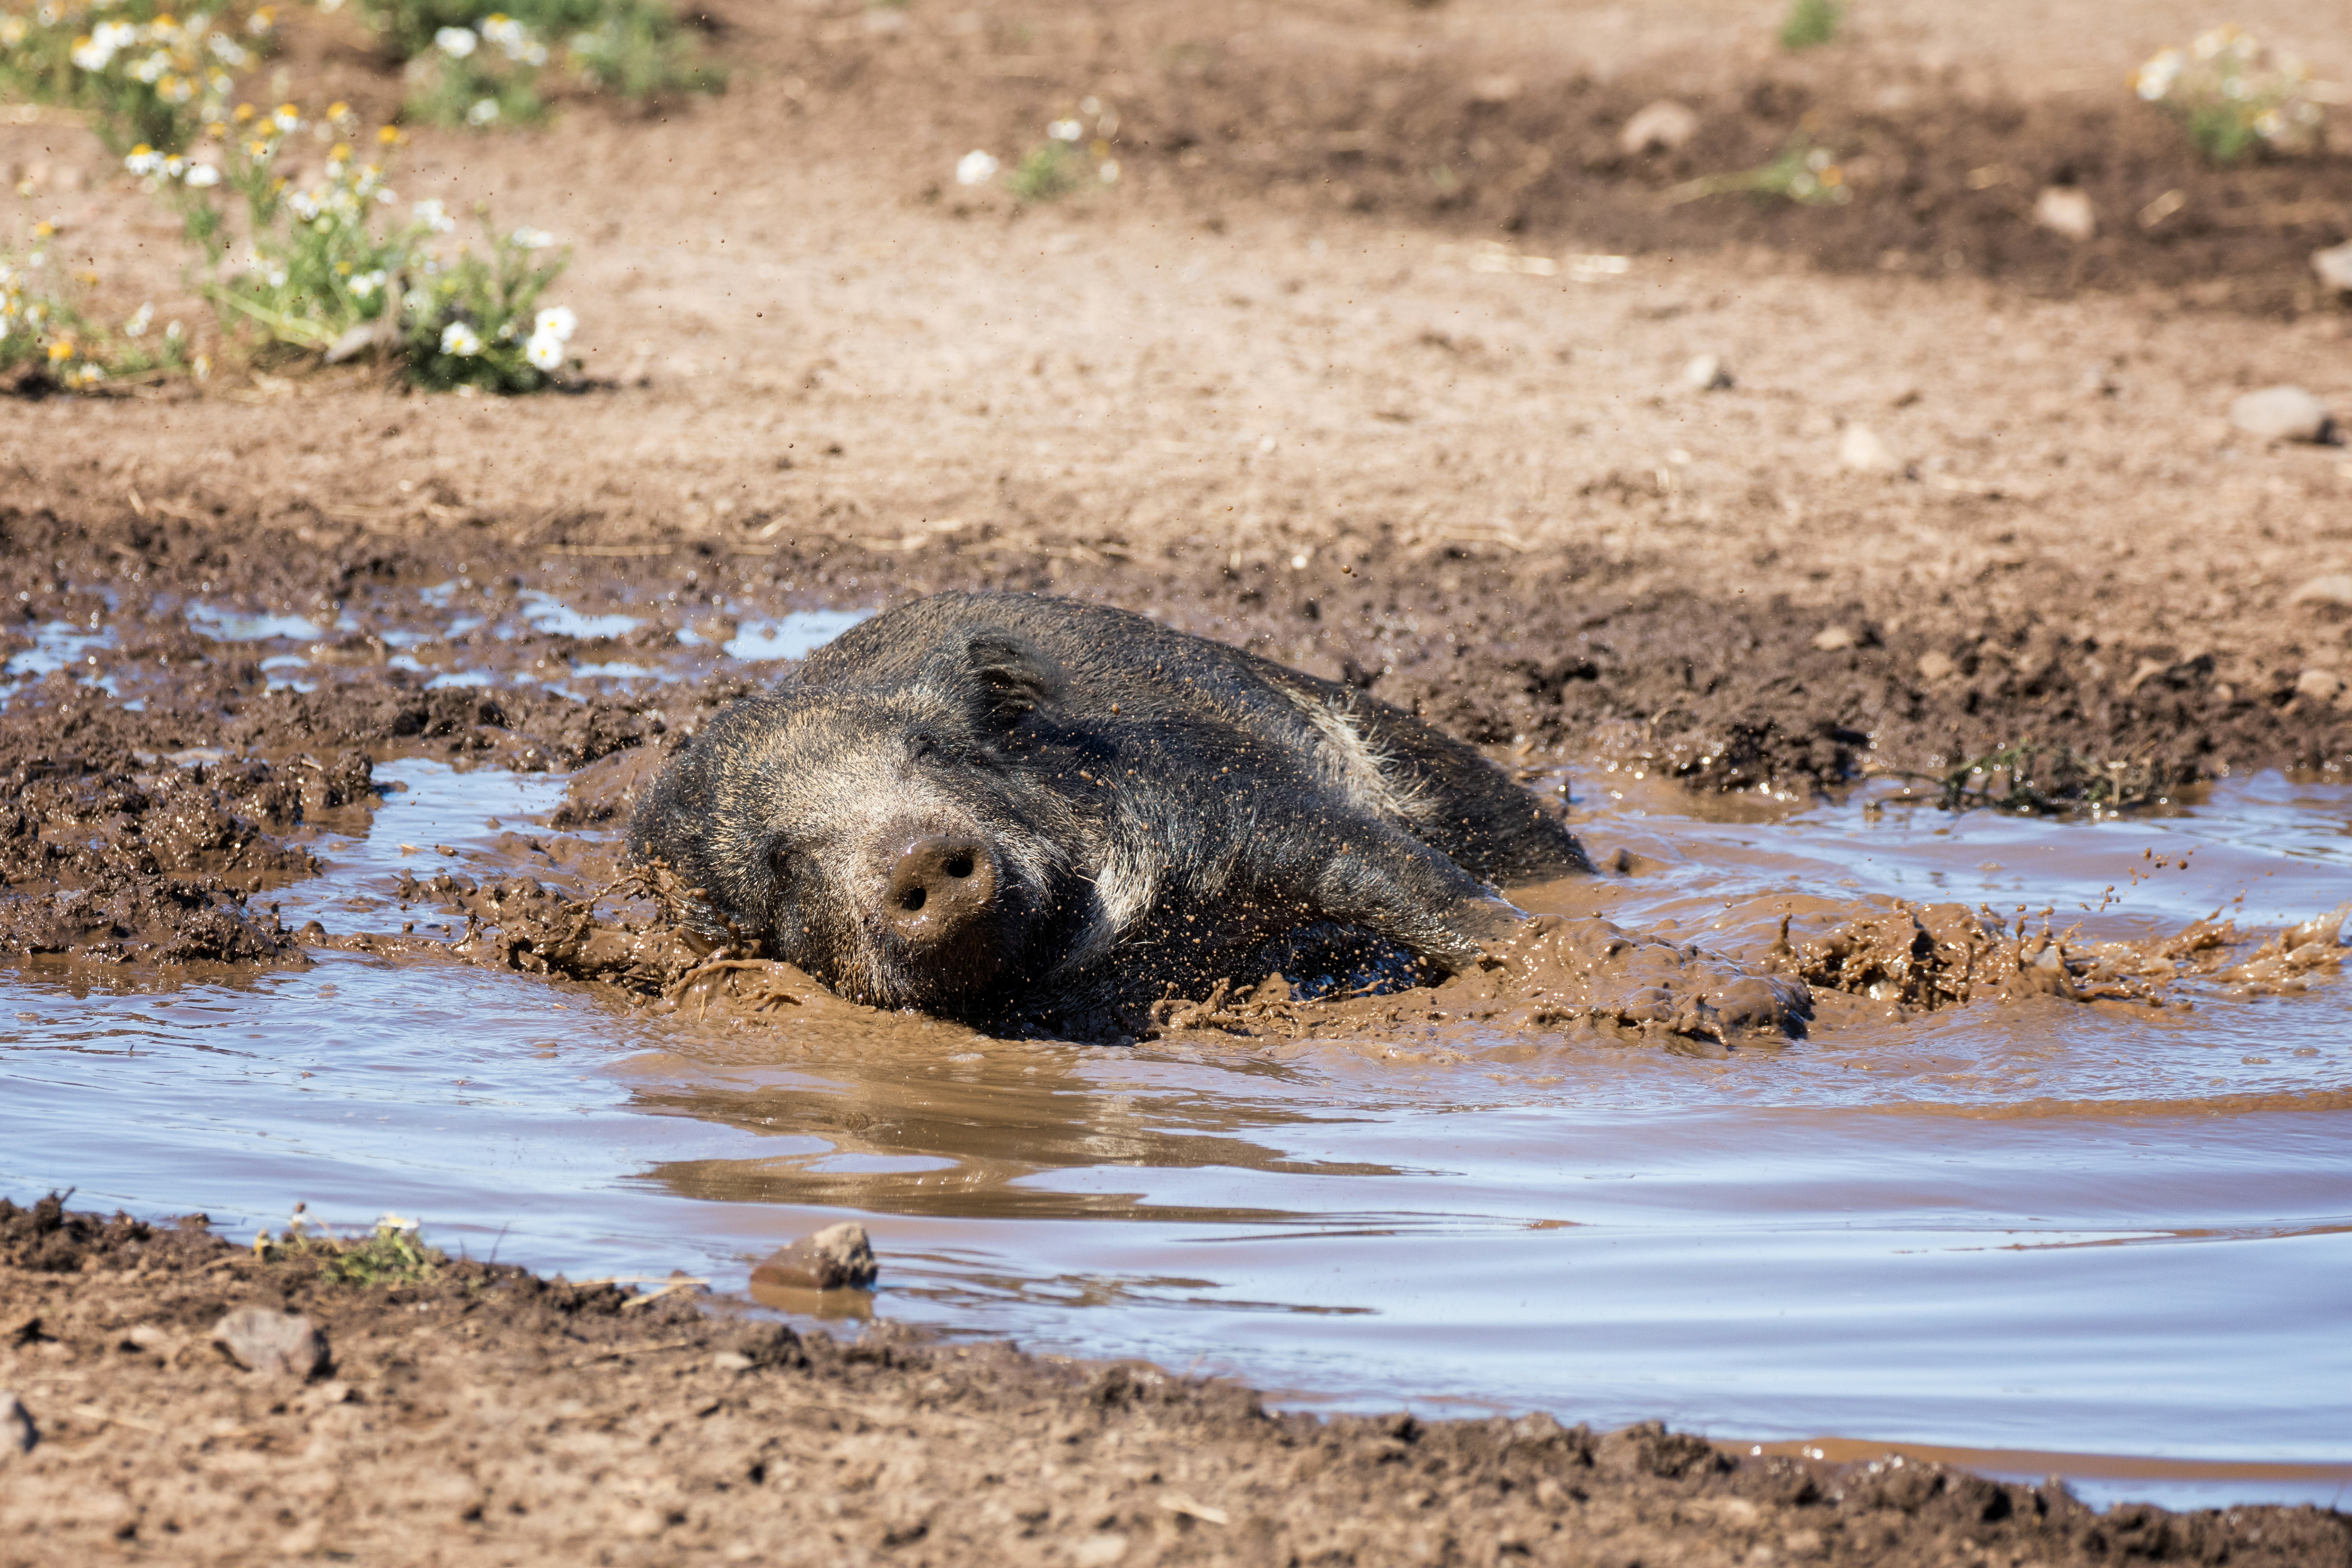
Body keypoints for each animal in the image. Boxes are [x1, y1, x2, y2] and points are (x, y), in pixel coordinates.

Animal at [630, 591, 1591, 1033]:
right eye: (781, 862)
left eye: (933, 751)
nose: (916, 854)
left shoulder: (1230, 797)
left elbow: (1382, 871)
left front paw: (1543, 965)